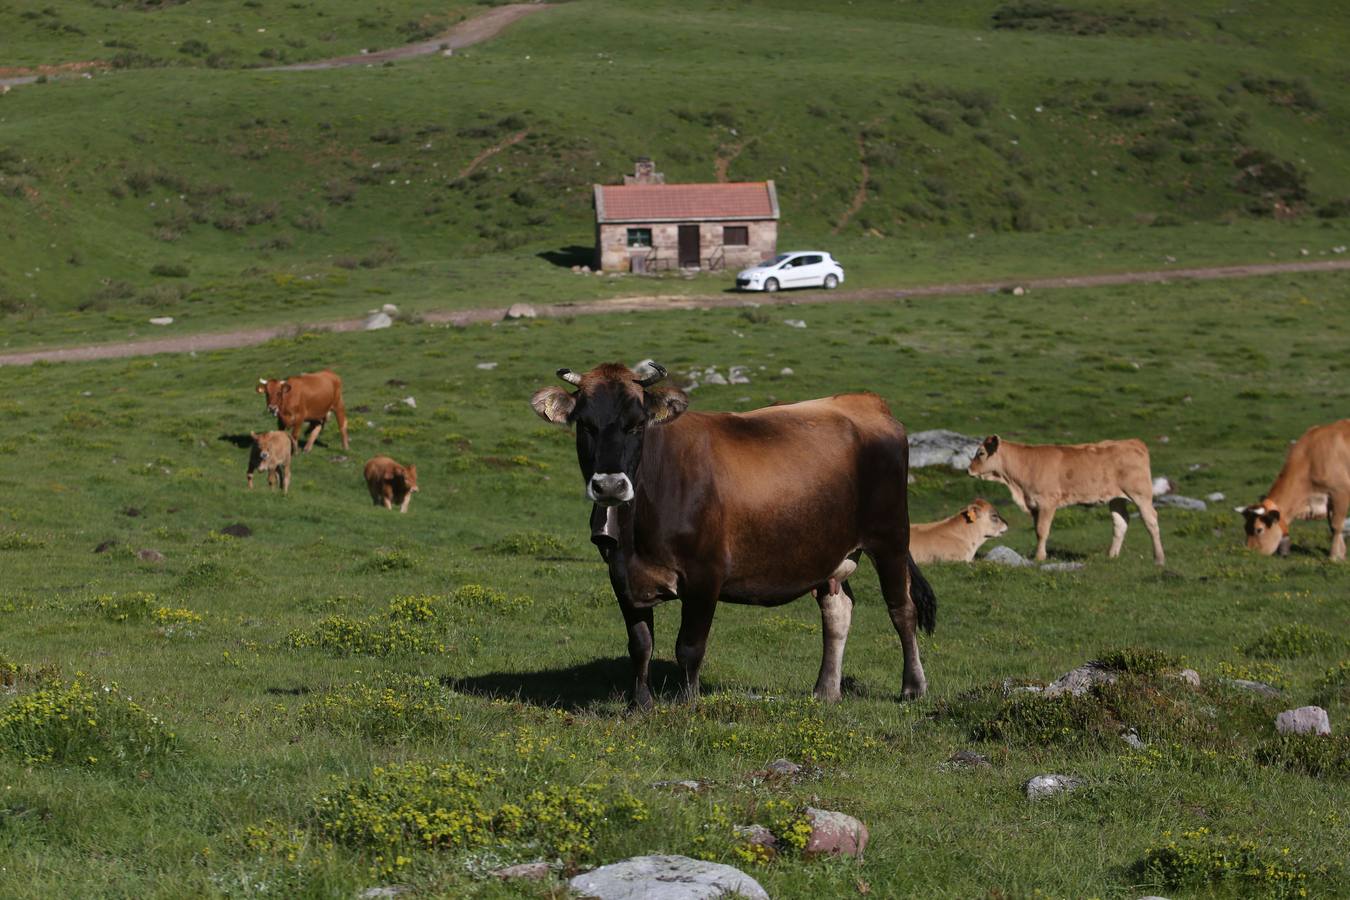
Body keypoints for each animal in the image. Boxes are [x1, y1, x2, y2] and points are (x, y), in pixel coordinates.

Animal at [529, 361, 939, 712]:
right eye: (585, 425)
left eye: (636, 425)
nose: (610, 485)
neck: (636, 530)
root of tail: (865, 401)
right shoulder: (621, 574)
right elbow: (640, 644)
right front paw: (639, 705)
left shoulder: (705, 575)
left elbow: (689, 646)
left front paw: (688, 704)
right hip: (830, 550)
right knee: (837, 610)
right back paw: (825, 690)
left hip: (890, 537)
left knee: (901, 609)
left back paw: (913, 688)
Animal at [1242, 418, 1350, 558]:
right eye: (1245, 527)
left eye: (1258, 530)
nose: (1249, 552)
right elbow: (1332, 526)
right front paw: (1341, 554)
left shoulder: (1340, 491)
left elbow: (1336, 525)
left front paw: (1334, 556)